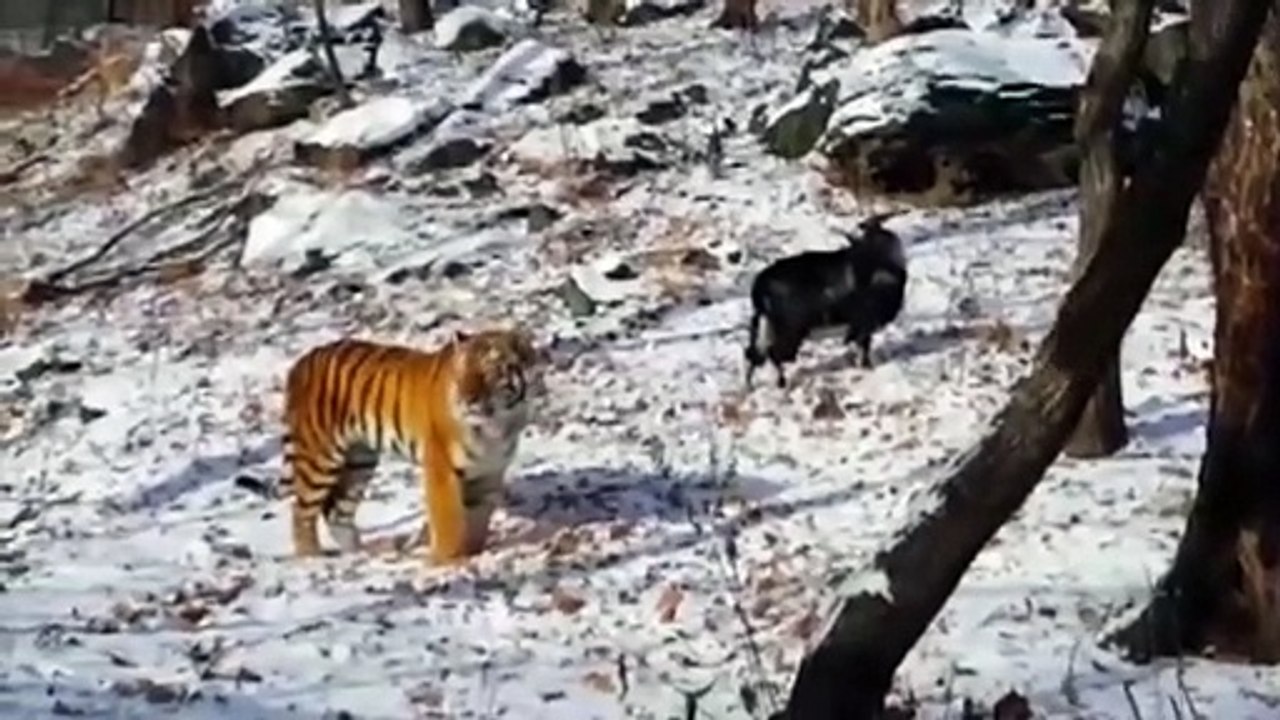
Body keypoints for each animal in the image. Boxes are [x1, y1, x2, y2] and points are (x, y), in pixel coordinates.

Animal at [279, 327, 546, 565]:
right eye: (461, 373)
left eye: (490, 373)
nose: (466, 400)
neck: (501, 423)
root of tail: (302, 361)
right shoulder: (442, 469)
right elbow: (448, 519)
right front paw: (448, 562)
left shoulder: (489, 473)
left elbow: (478, 519)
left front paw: (472, 552)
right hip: (320, 458)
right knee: (301, 511)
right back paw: (310, 558)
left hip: (359, 461)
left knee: (337, 512)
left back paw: (363, 553)